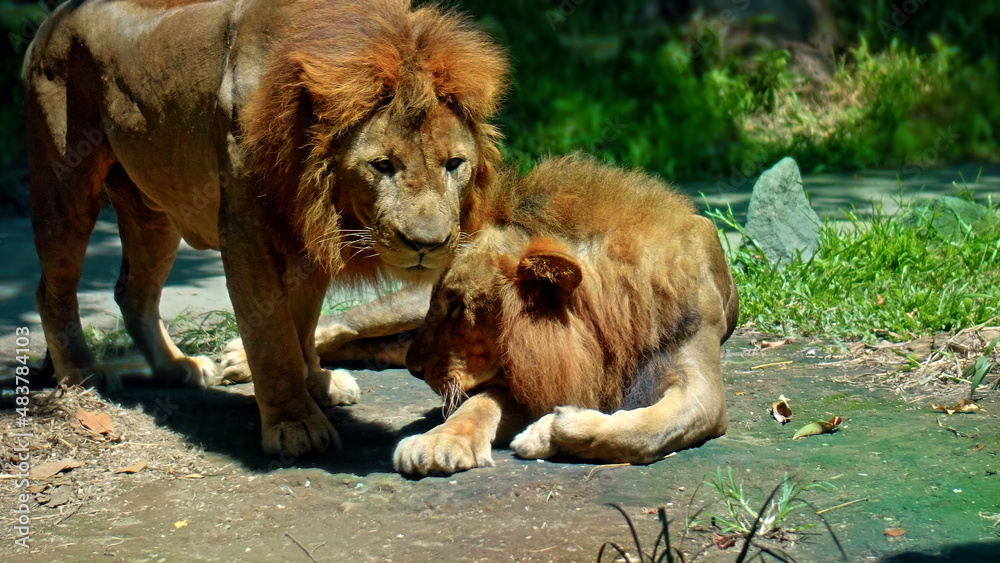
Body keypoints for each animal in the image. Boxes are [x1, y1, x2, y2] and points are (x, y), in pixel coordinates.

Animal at [23, 0, 507, 457]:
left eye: (454, 164)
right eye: (383, 165)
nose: (427, 244)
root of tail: (53, 19)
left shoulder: (307, 233)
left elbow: (303, 321)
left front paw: (316, 383)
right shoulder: (245, 229)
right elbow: (271, 333)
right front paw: (295, 423)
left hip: (153, 210)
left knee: (133, 291)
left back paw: (178, 367)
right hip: (65, 182)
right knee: (52, 291)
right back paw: (83, 372)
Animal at [394, 156, 740, 476]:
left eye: (456, 307)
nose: (413, 369)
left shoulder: (701, 388)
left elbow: (644, 430)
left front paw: (546, 432)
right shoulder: (534, 375)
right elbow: (476, 405)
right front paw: (437, 441)